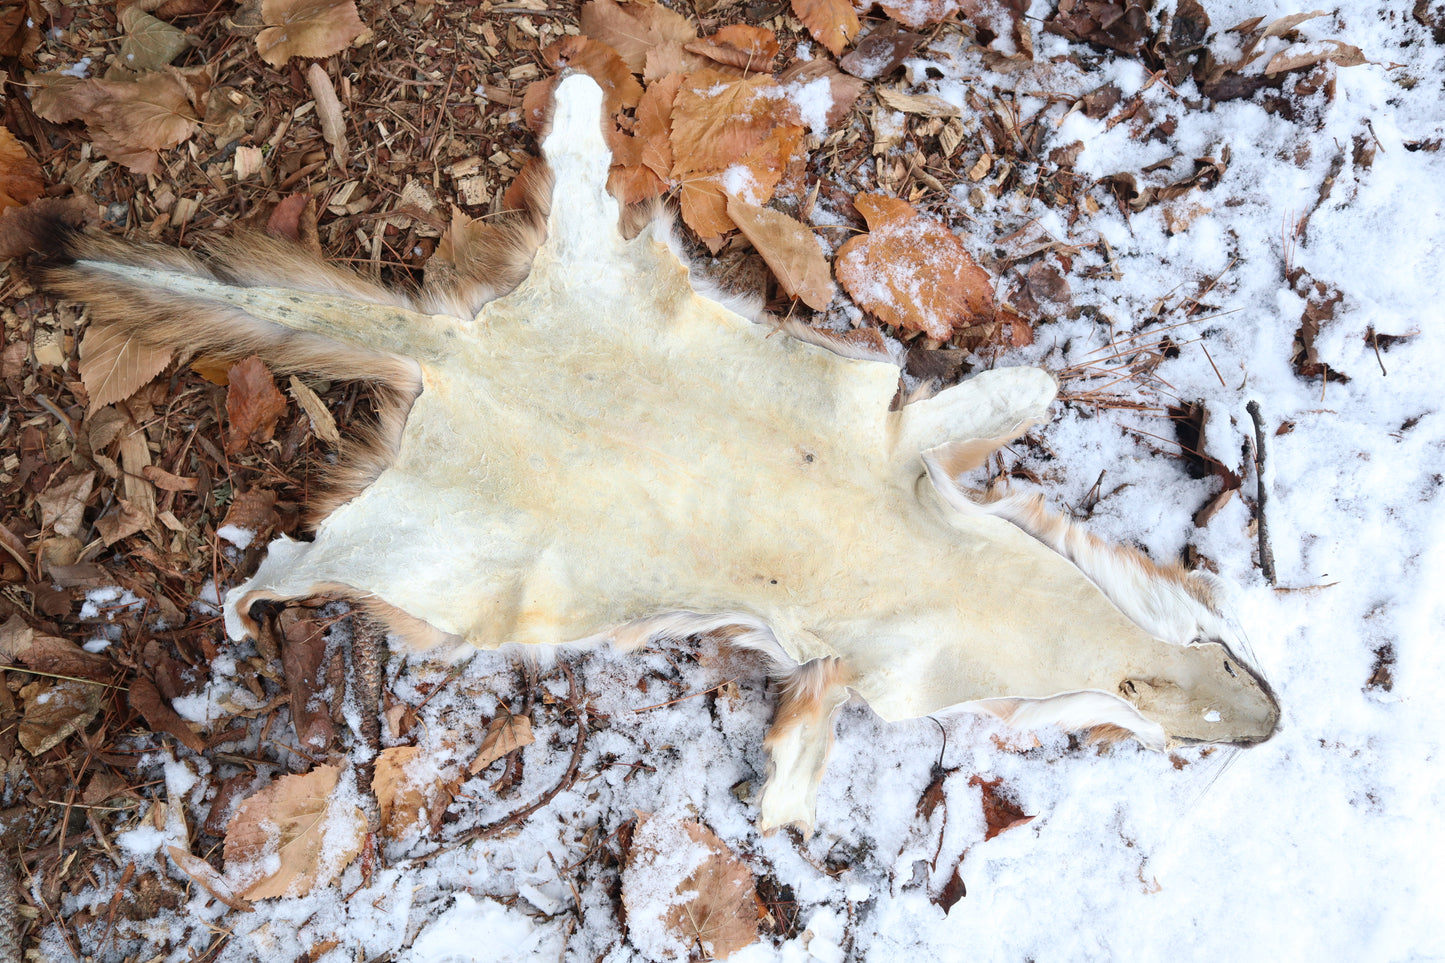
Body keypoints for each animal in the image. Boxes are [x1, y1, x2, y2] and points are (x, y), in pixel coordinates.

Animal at [22, 75, 1278, 834]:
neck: (951, 582)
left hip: (594, 282)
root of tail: (458, 356)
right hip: (436, 561)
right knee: (313, 561)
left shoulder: (909, 462)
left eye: (1226, 656)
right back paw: (255, 597)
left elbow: (977, 408)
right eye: (1137, 719)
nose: (1269, 722)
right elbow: (810, 732)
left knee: (580, 194)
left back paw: (578, 105)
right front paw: (784, 815)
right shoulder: (860, 616)